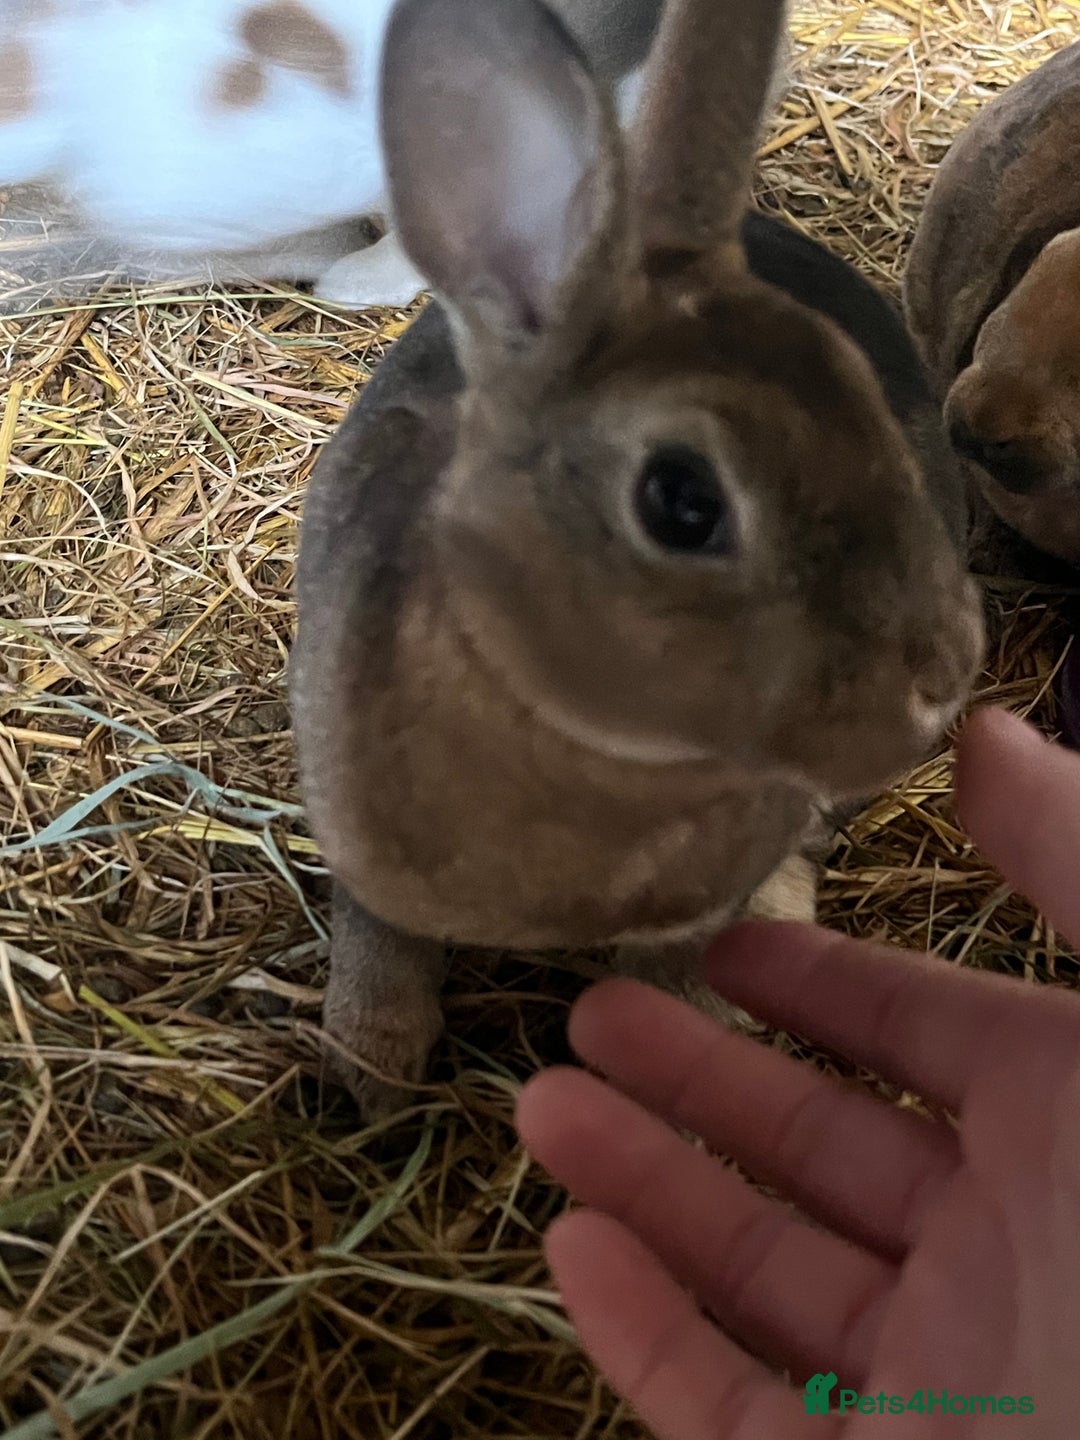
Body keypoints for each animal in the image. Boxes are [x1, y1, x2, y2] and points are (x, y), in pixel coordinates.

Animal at [289, 0, 984, 1123]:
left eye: (861, 394)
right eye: (683, 501)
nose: (942, 674)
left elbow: (670, 977)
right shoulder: (365, 851)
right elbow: (380, 944)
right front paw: (371, 1082)